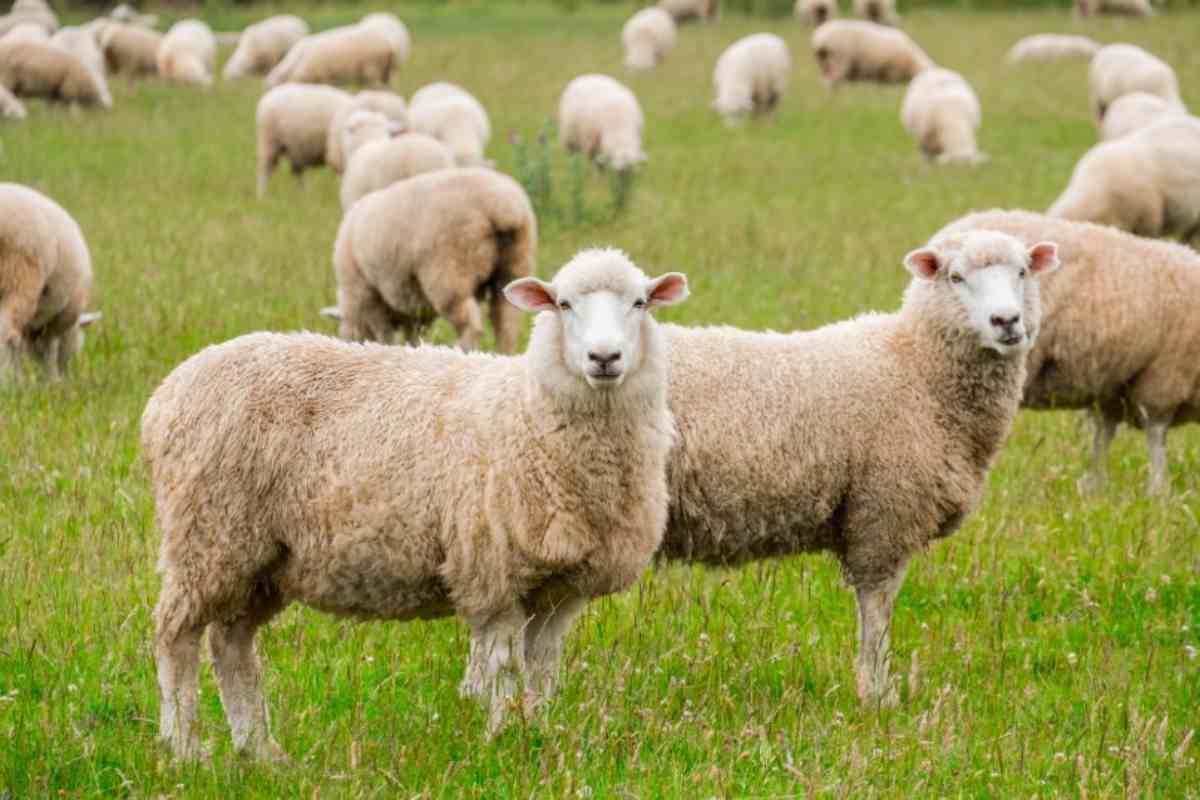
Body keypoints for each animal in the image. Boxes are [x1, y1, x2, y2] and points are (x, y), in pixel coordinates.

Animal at [0, 183, 101, 382]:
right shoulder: (59, 320)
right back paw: (9, 381)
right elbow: (48, 350)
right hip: (21, 277)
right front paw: (52, 381)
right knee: (7, 332)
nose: (67, 372)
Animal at [144, 248, 689, 760]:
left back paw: (259, 750)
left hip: (260, 559)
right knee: (177, 637)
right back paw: (184, 746)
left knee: (230, 645)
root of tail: (169, 390)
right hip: (208, 534)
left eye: (640, 303)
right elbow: (504, 669)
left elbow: (542, 670)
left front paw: (536, 733)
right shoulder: (492, 573)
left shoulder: (559, 590)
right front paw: (502, 740)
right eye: (564, 304)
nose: (604, 357)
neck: (531, 411)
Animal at [323, 167, 535, 354]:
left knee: (471, 326)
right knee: (507, 324)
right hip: (514, 266)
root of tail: (503, 207)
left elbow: (385, 334)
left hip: (449, 270)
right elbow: (413, 336)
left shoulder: (367, 293)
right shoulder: (413, 308)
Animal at [661, 230, 1059, 704]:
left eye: (1022, 271)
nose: (1006, 321)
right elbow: (877, 610)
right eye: (955, 277)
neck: (917, 368)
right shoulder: (883, 514)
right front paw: (879, 696)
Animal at [938, 210, 1200, 495]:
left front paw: (1095, 484)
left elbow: (1103, 434)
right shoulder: (1165, 376)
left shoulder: (1113, 386)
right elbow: (1156, 434)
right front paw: (1159, 489)